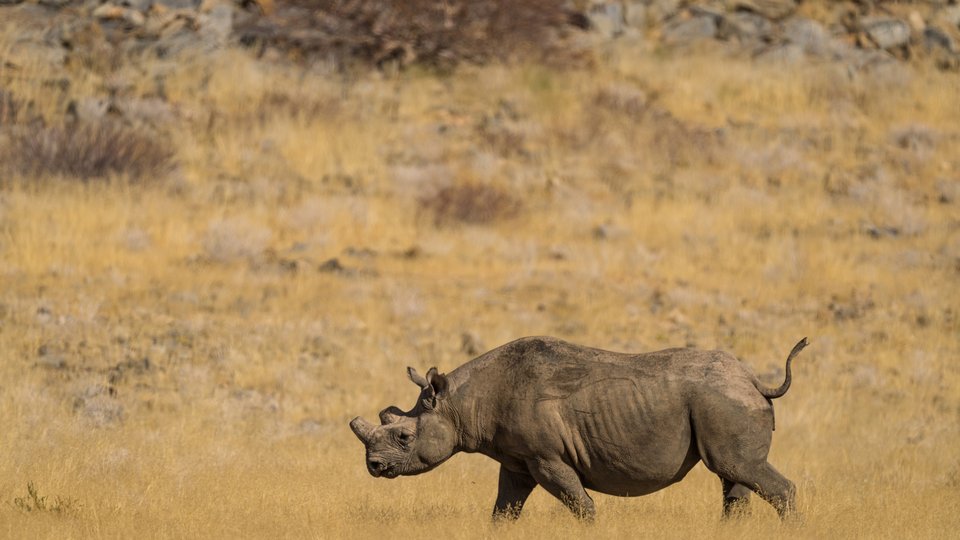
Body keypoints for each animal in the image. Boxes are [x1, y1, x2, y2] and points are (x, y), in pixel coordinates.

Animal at [349, 336, 808, 521]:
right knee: (734, 477)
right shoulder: (516, 461)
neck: (461, 404)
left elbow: (580, 504)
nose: (373, 467)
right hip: (723, 402)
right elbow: (504, 511)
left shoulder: (546, 457)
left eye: (404, 437)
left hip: (724, 401)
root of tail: (753, 379)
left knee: (741, 471)